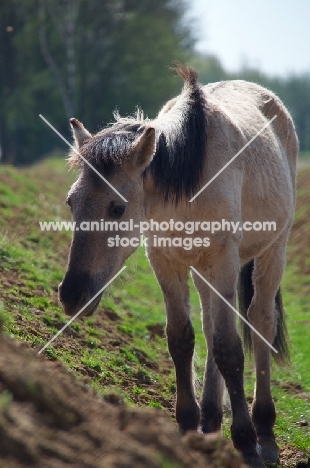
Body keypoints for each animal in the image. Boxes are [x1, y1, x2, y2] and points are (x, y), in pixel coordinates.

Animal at [58, 63, 298, 468]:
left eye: (117, 208)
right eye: (71, 202)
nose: (73, 295)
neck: (188, 181)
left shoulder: (223, 259)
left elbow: (230, 348)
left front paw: (246, 442)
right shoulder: (166, 260)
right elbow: (182, 338)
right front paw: (188, 426)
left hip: (272, 250)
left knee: (260, 320)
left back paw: (264, 431)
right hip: (203, 270)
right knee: (211, 322)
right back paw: (211, 420)